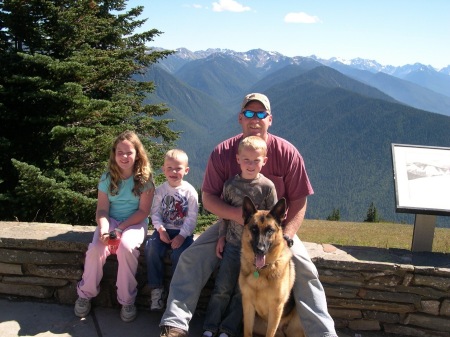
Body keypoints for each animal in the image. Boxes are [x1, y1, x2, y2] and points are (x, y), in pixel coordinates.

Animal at [239, 196, 306, 336]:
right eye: (254, 229)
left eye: (270, 230)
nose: (260, 250)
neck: (260, 271)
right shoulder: (247, 305)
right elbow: (247, 331)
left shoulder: (276, 308)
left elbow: (270, 333)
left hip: (294, 329)